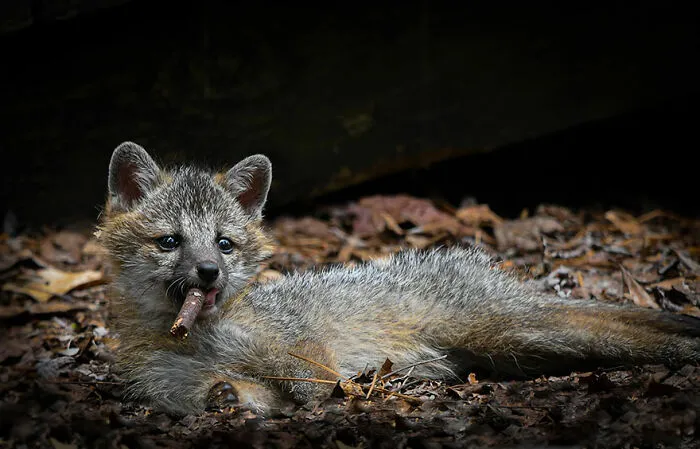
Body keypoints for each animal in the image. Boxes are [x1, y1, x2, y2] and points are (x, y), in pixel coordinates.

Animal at [98, 141, 700, 416]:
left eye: (224, 243)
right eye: (170, 242)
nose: (209, 271)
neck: (201, 337)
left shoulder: (305, 354)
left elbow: (314, 384)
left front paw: (342, 395)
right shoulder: (187, 388)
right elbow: (234, 394)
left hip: (517, 332)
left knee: (628, 331)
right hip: (514, 349)